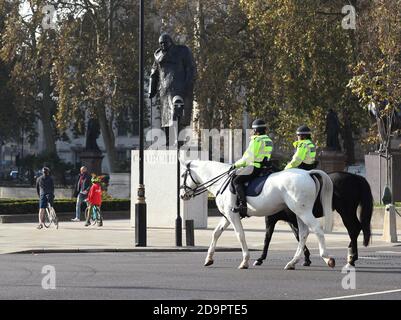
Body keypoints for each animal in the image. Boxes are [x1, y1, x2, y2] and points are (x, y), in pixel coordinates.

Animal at [179, 160, 334, 270]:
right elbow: (216, 233)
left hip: (303, 211)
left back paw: (327, 258)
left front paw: (245, 261)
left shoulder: (232, 216)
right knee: (303, 234)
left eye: (182, 175)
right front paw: (209, 258)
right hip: (298, 213)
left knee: (316, 230)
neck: (222, 182)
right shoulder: (227, 217)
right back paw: (292, 262)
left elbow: (240, 235)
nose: (182, 195)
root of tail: (307, 173)